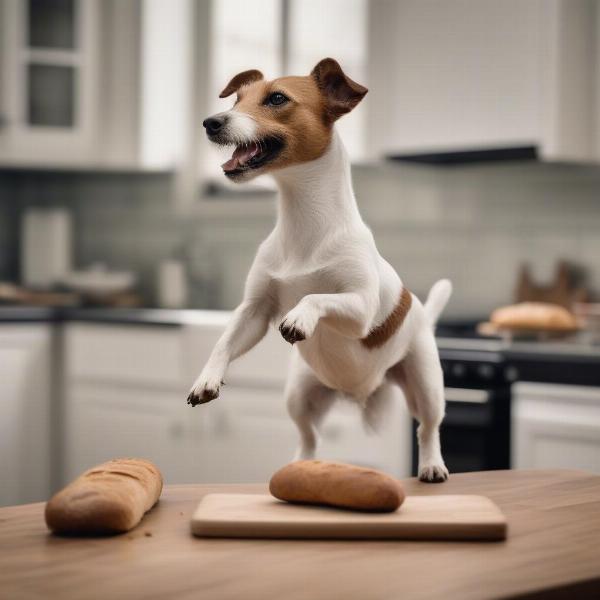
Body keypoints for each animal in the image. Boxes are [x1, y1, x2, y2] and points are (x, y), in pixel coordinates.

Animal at [188, 57, 450, 482]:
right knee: (309, 437)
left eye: (277, 99)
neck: (304, 223)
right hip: (299, 394)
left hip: (426, 385)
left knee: (427, 428)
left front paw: (300, 318)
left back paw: (431, 465)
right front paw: (207, 378)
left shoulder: (360, 309)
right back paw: (301, 465)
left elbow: (315, 295)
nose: (211, 122)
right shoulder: (254, 312)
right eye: (237, 99)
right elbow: (224, 341)